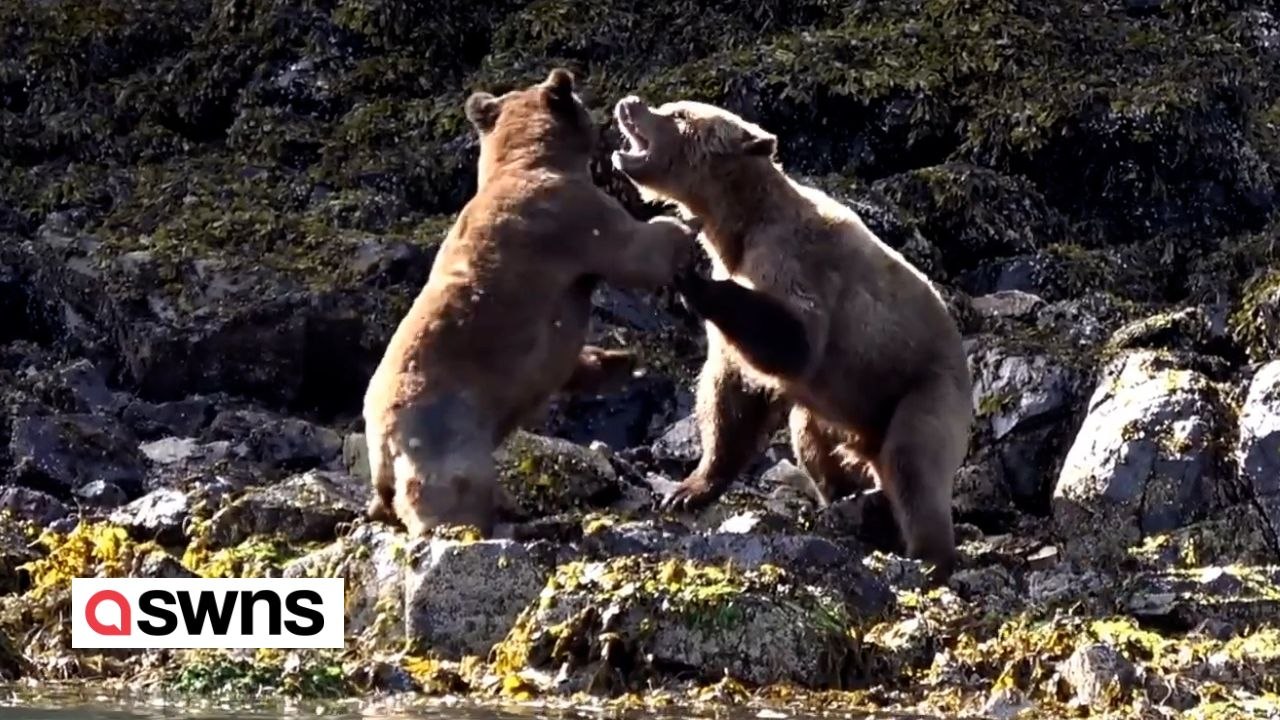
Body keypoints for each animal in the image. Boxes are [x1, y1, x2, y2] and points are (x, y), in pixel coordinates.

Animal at [362, 70, 700, 538]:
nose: (602, 115)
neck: (526, 159)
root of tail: (381, 446)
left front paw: (620, 360)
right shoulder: (574, 216)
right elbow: (635, 252)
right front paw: (686, 225)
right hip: (448, 437)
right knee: (454, 493)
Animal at [610, 95, 974, 583]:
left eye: (679, 114)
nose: (630, 103)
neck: (738, 226)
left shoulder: (794, 262)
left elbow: (793, 343)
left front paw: (690, 275)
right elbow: (730, 398)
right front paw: (686, 490)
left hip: (924, 392)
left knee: (914, 464)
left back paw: (928, 557)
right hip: (834, 418)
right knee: (813, 445)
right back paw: (845, 500)